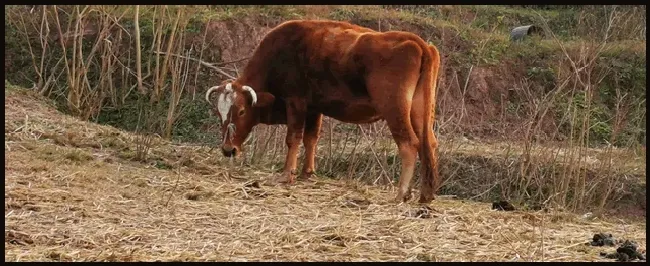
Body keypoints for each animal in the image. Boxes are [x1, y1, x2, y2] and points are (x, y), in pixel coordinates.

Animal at [205, 19, 442, 204]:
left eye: (241, 111)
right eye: (219, 113)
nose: (228, 149)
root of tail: (419, 43)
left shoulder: (296, 103)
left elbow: (293, 138)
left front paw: (286, 174)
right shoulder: (313, 109)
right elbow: (311, 139)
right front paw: (307, 172)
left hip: (395, 110)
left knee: (409, 144)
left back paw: (402, 193)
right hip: (419, 112)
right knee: (428, 143)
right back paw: (425, 195)